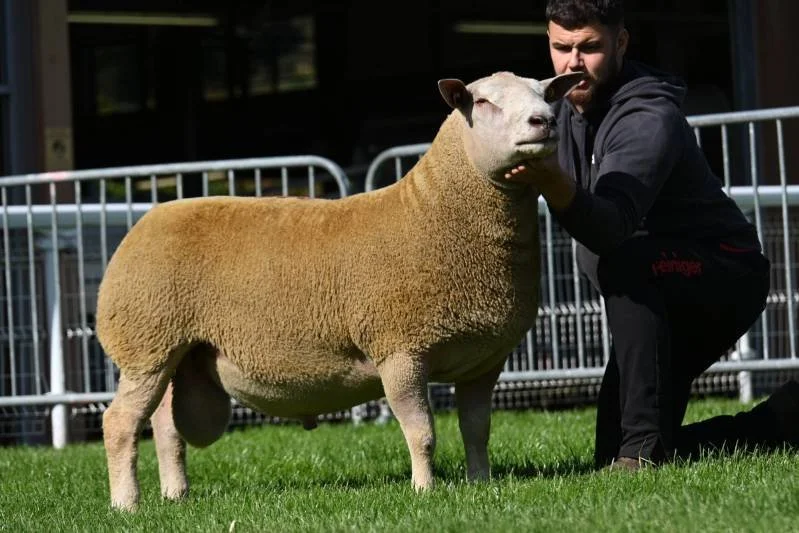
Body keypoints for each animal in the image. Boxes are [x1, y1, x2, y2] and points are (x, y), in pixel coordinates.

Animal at [96, 70, 584, 511]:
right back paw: (126, 504)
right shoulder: (399, 348)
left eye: (546, 94)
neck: (434, 214)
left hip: (181, 353)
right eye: (481, 102)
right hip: (146, 343)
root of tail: (147, 219)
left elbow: (477, 430)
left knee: (166, 429)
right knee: (120, 423)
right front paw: (424, 490)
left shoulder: (484, 362)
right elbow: (421, 432)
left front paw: (482, 484)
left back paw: (175, 495)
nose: (544, 121)